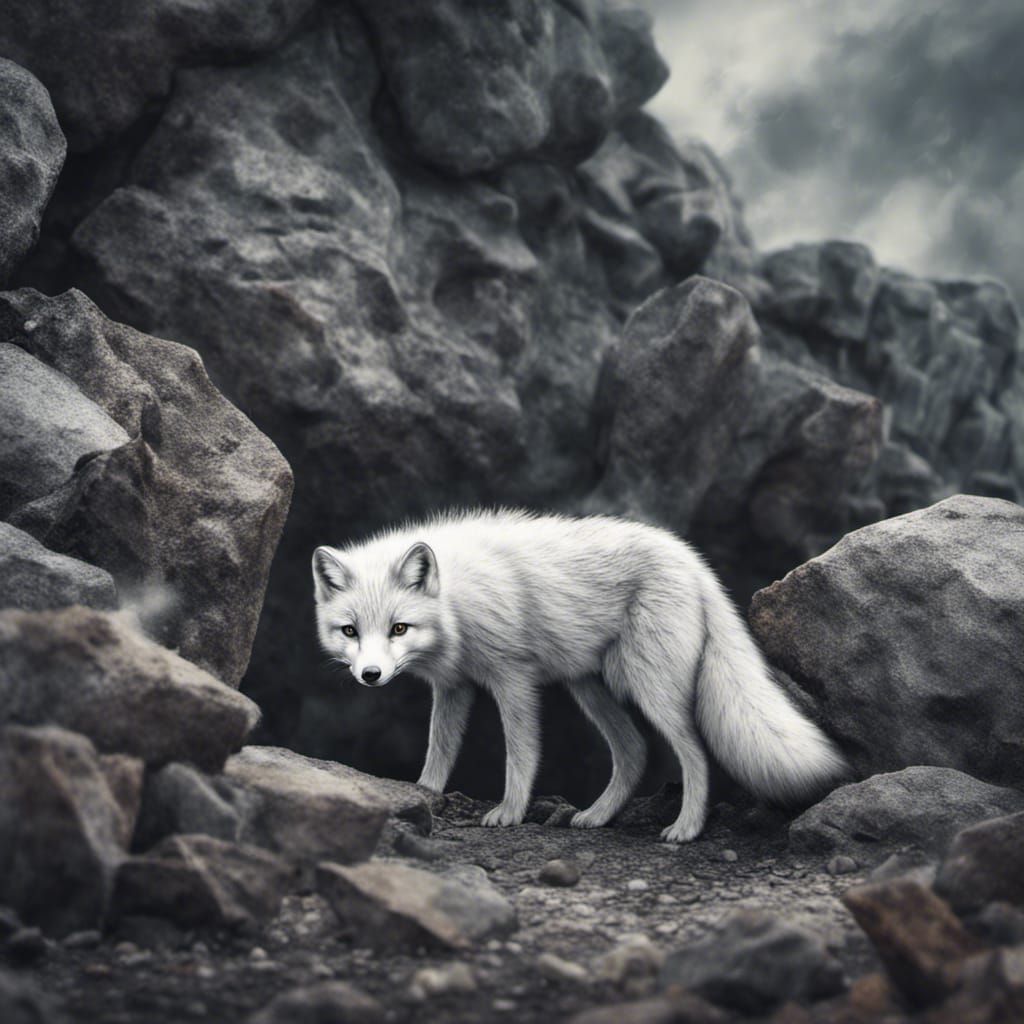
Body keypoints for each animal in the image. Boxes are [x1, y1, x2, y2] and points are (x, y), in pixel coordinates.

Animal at [312, 509, 849, 841]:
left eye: (399, 628)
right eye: (350, 631)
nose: (371, 675)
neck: (457, 602)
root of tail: (694, 562)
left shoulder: (512, 677)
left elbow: (521, 753)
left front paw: (510, 812)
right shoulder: (454, 686)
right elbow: (439, 750)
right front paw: (422, 795)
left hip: (649, 687)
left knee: (694, 753)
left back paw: (686, 829)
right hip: (589, 687)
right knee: (634, 751)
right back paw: (598, 815)